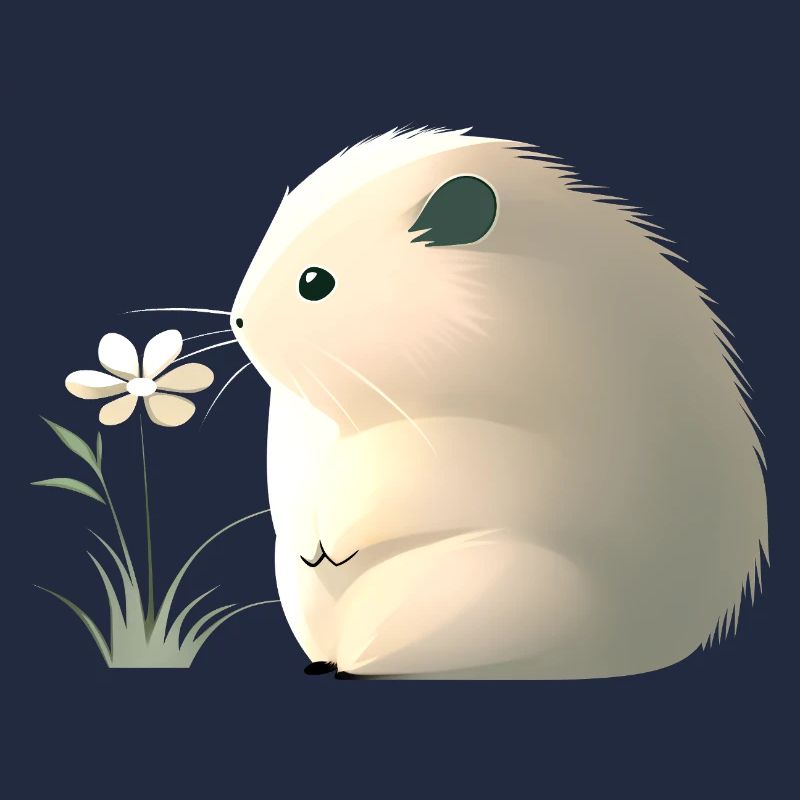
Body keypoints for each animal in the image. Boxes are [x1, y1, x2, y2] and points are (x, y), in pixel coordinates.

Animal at [231, 127, 767, 679]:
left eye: (315, 282)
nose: (237, 320)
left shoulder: (472, 446)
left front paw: (336, 544)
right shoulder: (295, 431)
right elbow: (294, 491)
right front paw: (313, 546)